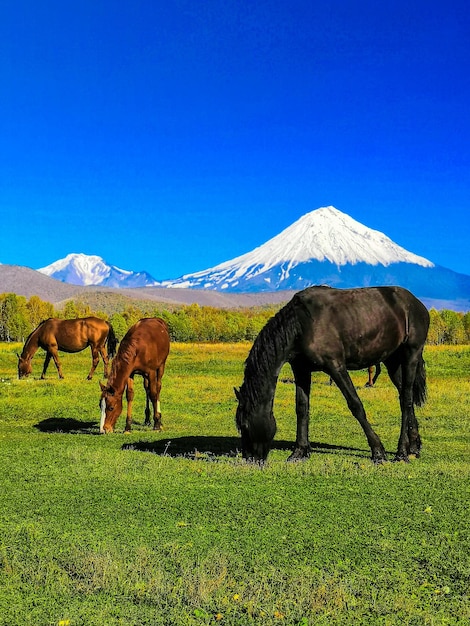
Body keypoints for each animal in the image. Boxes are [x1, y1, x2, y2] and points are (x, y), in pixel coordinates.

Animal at [235, 288, 430, 464]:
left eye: (244, 426)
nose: (249, 458)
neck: (302, 324)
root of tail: (416, 303)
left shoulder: (336, 367)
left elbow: (356, 405)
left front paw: (378, 452)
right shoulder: (301, 370)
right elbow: (302, 408)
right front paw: (299, 452)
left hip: (411, 354)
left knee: (406, 399)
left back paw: (401, 453)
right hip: (392, 361)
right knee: (405, 396)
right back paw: (413, 447)